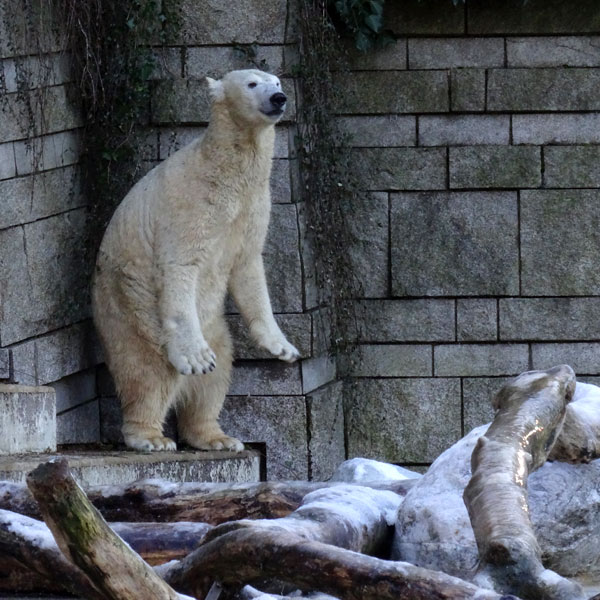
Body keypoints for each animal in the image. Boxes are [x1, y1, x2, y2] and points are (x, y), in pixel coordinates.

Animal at [92, 69, 300, 450]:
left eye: (277, 81)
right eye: (252, 83)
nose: (279, 98)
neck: (224, 171)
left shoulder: (252, 207)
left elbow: (248, 266)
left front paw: (283, 347)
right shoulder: (190, 204)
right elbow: (181, 265)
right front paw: (194, 358)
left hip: (210, 323)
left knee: (220, 366)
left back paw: (217, 436)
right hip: (131, 305)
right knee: (148, 368)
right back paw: (151, 436)